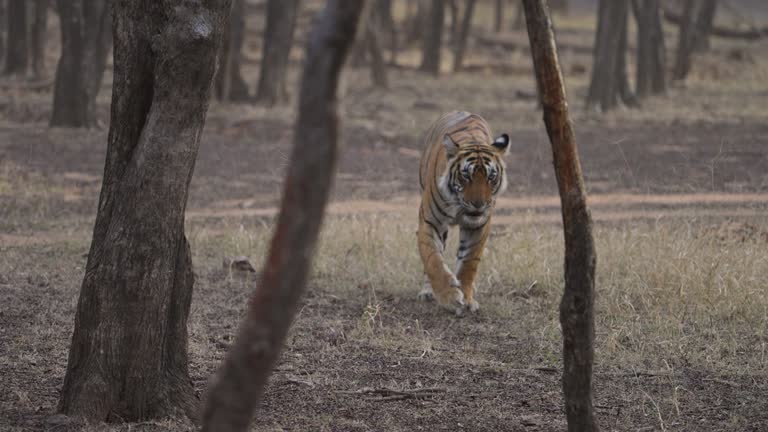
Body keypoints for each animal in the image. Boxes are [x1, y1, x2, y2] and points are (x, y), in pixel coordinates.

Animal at [414, 110, 510, 314]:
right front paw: (449, 297)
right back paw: (427, 292)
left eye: (491, 177)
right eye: (466, 175)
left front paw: (466, 297)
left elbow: (469, 262)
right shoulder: (430, 222)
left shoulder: (479, 226)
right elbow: (433, 260)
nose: (478, 204)